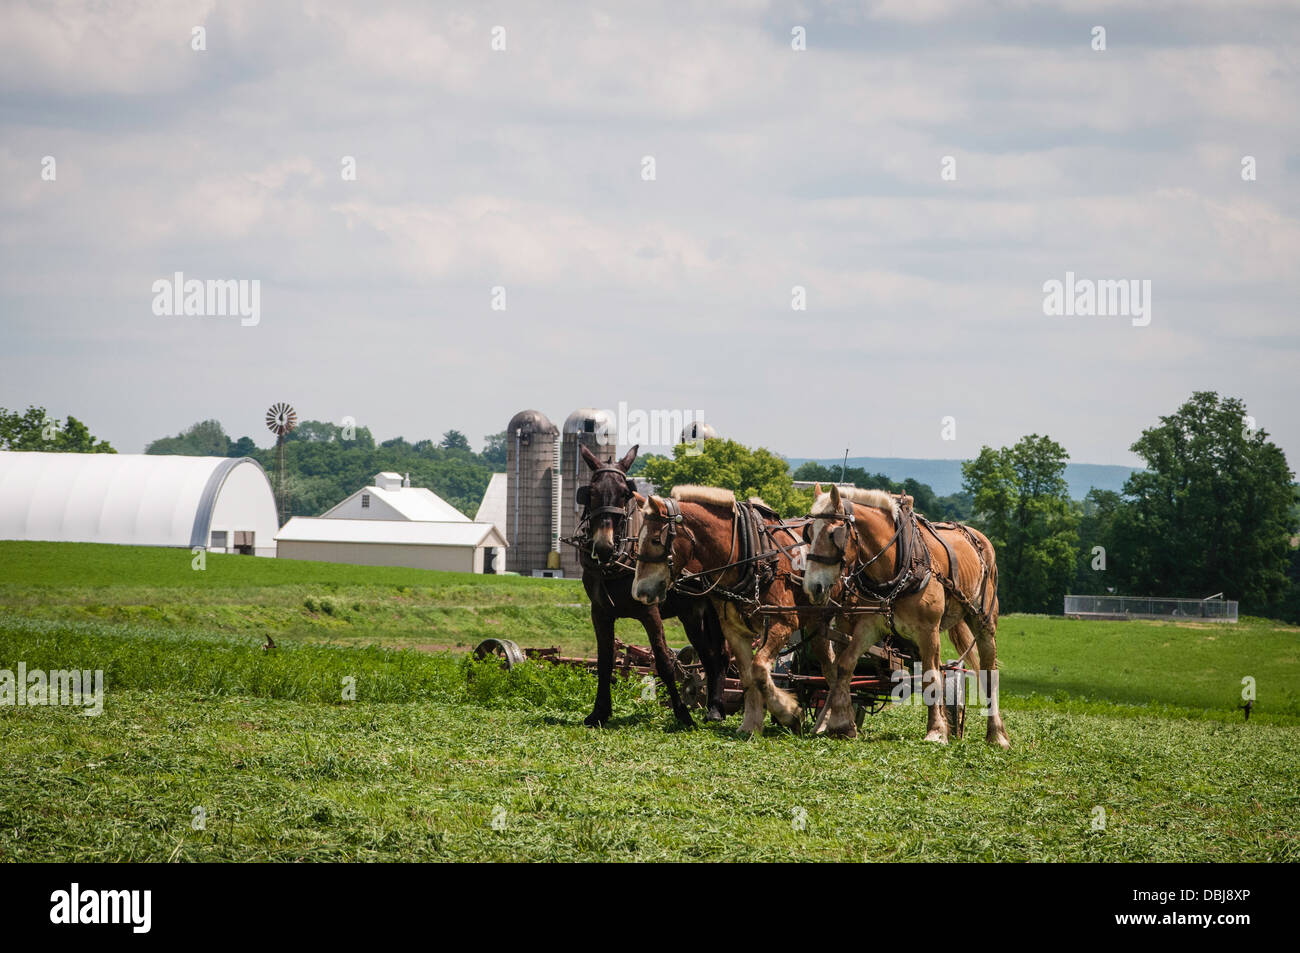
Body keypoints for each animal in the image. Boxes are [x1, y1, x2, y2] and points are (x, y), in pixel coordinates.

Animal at [574, 445, 730, 728]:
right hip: (691, 614)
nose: (604, 546)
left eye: (624, 493)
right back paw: (712, 706)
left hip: (716, 610)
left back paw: (714, 709)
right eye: (590, 493)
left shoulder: (650, 612)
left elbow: (664, 661)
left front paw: (682, 713)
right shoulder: (600, 613)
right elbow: (604, 661)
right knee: (708, 655)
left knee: (720, 655)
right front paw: (600, 711)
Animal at [630, 485, 828, 737]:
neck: (751, 554)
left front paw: (789, 713)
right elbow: (748, 675)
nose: (639, 592)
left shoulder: (782, 623)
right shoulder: (734, 629)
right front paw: (751, 725)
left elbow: (760, 669)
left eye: (656, 540)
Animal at [802, 483, 1009, 747]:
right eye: (809, 533)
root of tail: (978, 538)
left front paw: (936, 731)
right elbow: (845, 665)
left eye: (832, 534)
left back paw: (996, 734)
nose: (812, 587)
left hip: (983, 622)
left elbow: (931, 677)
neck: (897, 564)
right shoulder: (870, 625)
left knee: (988, 673)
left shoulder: (928, 631)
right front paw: (842, 725)